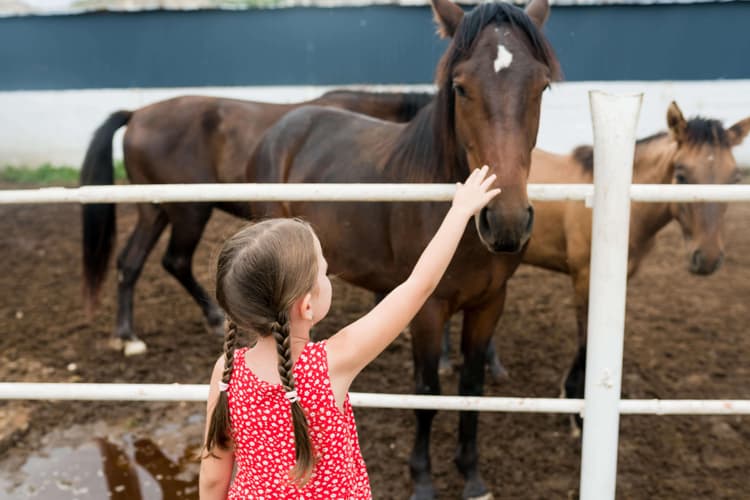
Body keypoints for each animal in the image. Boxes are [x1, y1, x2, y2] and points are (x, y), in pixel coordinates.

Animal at [80, 89, 432, 355]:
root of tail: (137, 113)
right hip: (190, 210)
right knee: (175, 260)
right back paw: (206, 320)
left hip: (154, 211)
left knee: (130, 262)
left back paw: (128, 336)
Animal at [246, 0, 560, 497]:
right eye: (461, 88)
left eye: (541, 85)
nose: (506, 221)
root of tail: (285, 125)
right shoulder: (427, 309)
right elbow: (427, 393)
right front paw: (423, 478)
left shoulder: (490, 302)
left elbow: (471, 389)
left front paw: (471, 474)